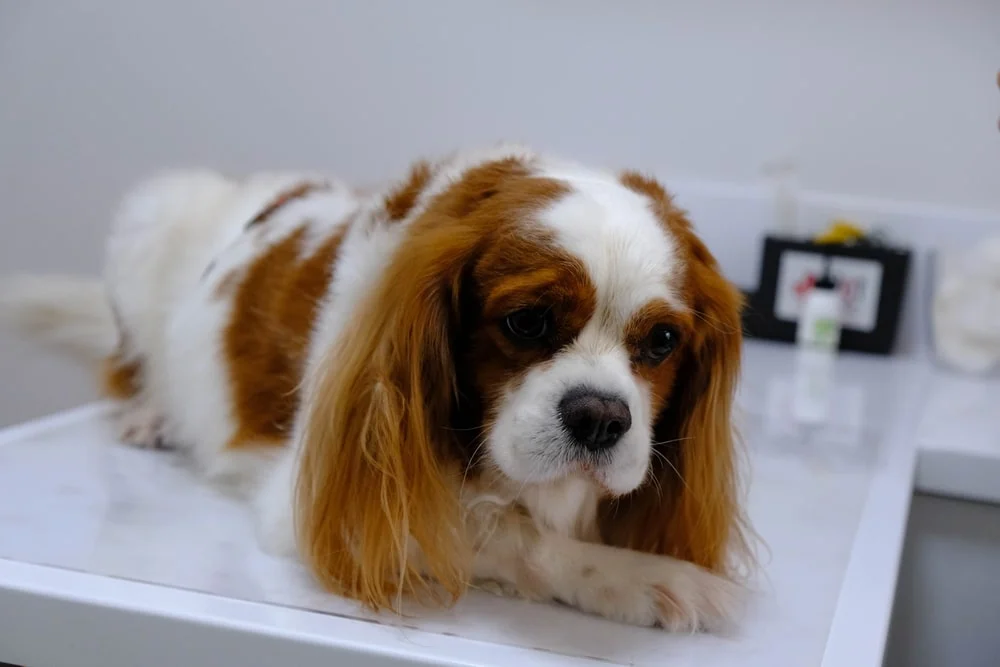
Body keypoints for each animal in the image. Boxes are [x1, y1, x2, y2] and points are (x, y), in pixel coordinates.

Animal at [0, 145, 752, 632]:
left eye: (662, 341)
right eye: (527, 320)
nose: (600, 417)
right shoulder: (330, 503)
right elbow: (503, 532)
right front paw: (639, 576)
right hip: (151, 214)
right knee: (129, 364)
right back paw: (153, 410)